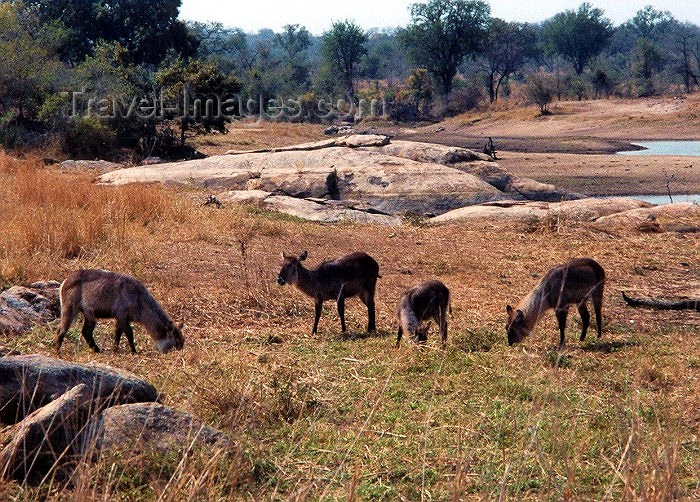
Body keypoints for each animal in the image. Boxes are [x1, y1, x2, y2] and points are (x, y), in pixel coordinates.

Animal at [56, 268, 185, 354]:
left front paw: (115, 349)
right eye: (176, 342)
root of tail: (65, 280)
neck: (139, 298)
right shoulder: (122, 316)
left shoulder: (120, 319)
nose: (178, 353)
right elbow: (129, 333)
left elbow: (117, 333)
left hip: (89, 315)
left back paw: (97, 349)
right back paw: (58, 351)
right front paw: (134, 351)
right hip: (70, 309)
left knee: (86, 332)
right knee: (61, 330)